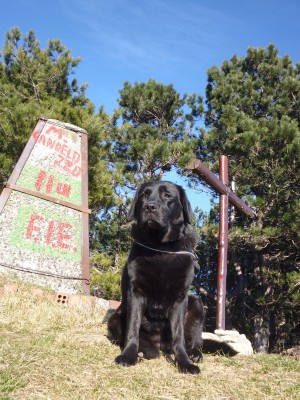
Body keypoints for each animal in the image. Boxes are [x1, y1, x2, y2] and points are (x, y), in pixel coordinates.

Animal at [108, 182, 204, 376]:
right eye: (144, 196)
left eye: (167, 195)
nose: (149, 207)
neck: (160, 247)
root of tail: (161, 346)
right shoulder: (136, 292)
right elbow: (132, 328)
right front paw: (128, 355)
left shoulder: (180, 297)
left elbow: (179, 337)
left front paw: (184, 362)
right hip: (114, 317)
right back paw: (144, 351)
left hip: (197, 303)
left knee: (190, 341)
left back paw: (194, 354)